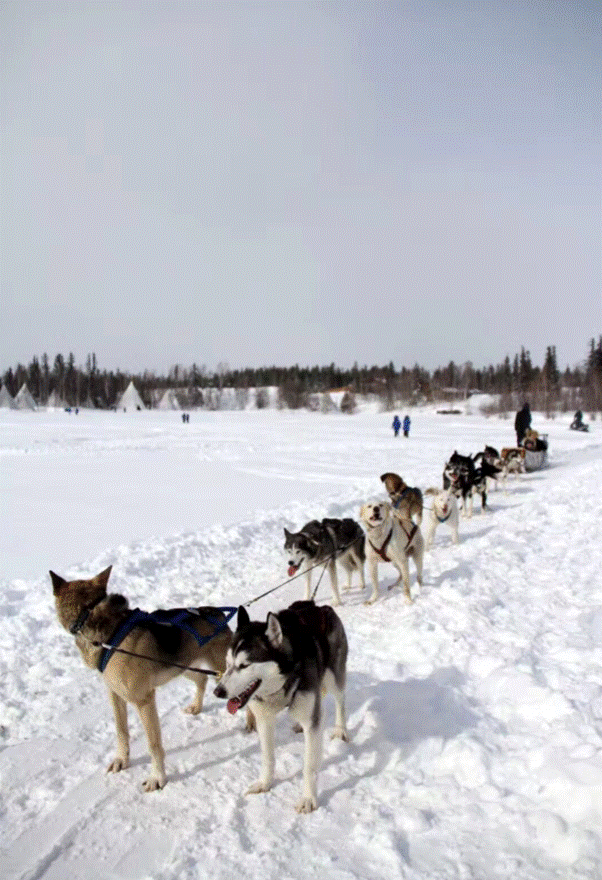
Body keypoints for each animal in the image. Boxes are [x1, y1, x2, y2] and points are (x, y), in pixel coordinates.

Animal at [49, 568, 239, 796]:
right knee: (201, 679)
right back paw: (196, 706)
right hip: (184, 667)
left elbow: (153, 745)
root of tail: (216, 613)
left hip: (222, 672)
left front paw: (157, 778)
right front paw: (121, 760)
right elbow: (121, 732)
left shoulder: (144, 701)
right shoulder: (115, 695)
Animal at [214, 600, 346, 816]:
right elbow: (268, 757)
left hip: (334, 677)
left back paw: (341, 730)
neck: (283, 682)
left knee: (340, 700)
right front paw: (265, 784)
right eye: (227, 663)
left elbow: (309, 766)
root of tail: (320, 607)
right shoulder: (264, 719)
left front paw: (308, 799)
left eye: (244, 665)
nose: (218, 691)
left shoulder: (312, 720)